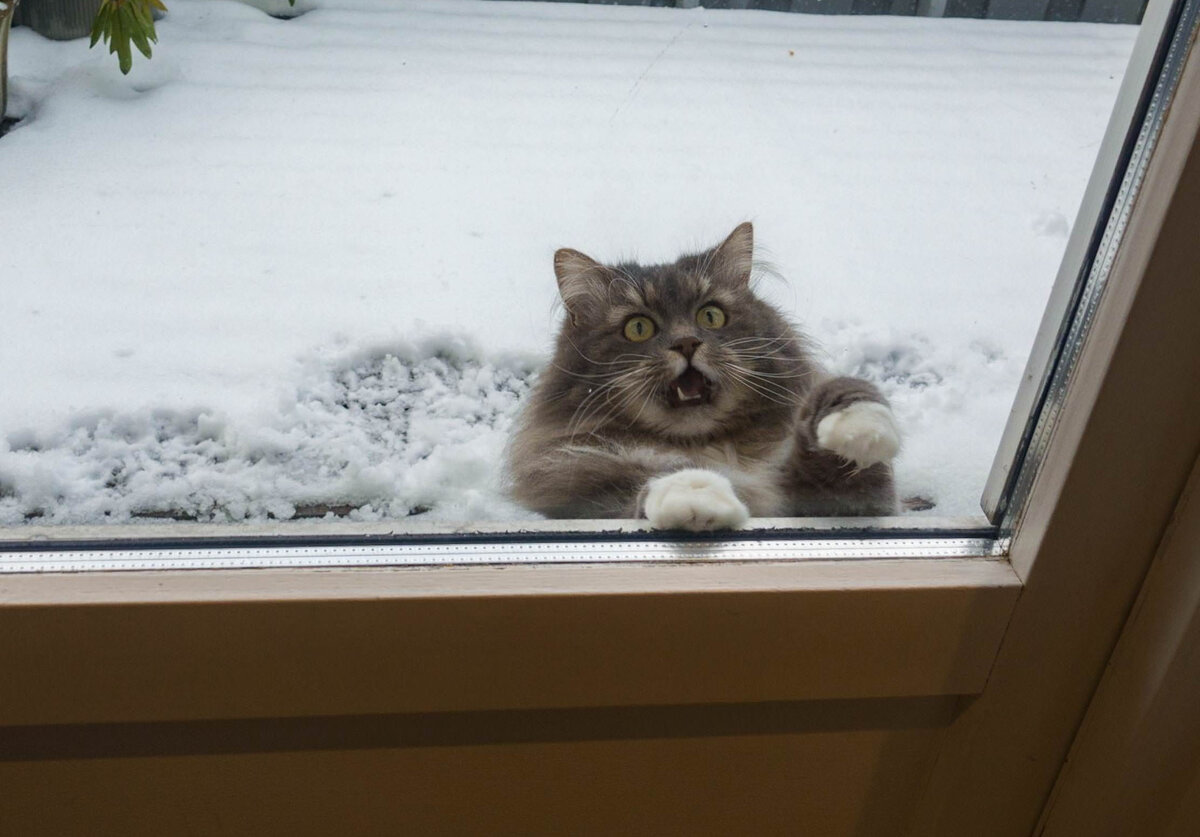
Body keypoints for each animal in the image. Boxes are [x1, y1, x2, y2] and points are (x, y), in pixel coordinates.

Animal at [501, 221, 897, 527]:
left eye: (711, 316)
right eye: (638, 327)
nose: (687, 343)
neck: (708, 449)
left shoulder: (849, 503)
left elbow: (841, 398)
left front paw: (857, 425)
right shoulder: (589, 504)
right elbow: (650, 489)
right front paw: (693, 490)